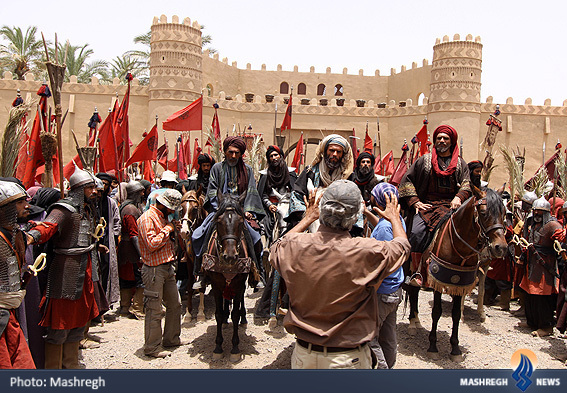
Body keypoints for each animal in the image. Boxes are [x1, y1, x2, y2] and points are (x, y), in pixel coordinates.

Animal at [202, 191, 251, 360]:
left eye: (241, 222)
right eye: (219, 221)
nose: (230, 257)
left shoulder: (239, 284)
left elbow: (235, 314)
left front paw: (235, 347)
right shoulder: (216, 285)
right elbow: (217, 314)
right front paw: (218, 347)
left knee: (240, 300)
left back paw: (243, 317)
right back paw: (224, 317)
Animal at [406, 185, 508, 360]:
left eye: (504, 213)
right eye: (483, 213)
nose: (500, 247)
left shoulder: (460, 282)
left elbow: (456, 314)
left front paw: (455, 348)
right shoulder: (438, 282)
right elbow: (436, 312)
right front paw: (433, 346)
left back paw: (416, 322)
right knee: (413, 292)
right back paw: (413, 323)